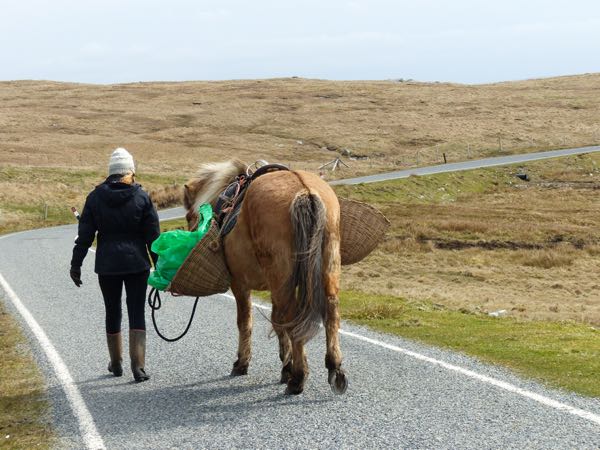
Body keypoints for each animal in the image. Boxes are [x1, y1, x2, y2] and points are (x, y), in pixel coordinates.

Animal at [182, 160, 347, 395]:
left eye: (189, 216)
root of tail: (305, 191)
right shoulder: (274, 286)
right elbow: (277, 322)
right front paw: (285, 366)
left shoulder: (240, 284)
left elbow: (245, 322)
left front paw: (243, 363)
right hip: (326, 267)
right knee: (330, 312)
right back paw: (334, 368)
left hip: (280, 280)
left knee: (293, 318)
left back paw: (298, 378)